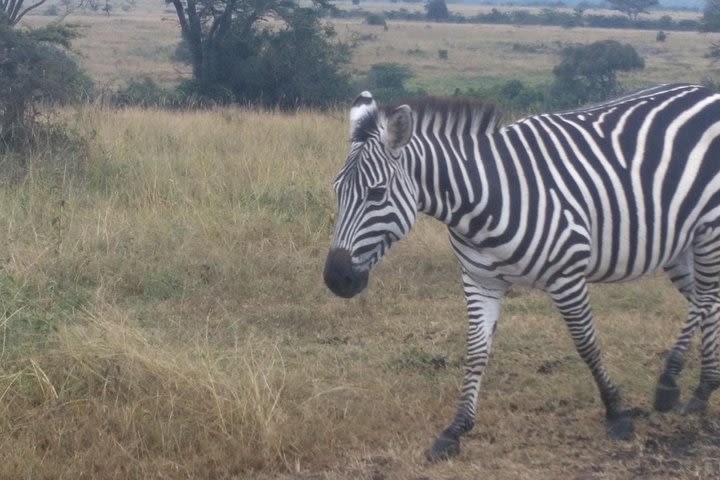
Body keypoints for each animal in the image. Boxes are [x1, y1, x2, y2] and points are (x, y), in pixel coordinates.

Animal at [324, 84, 720, 464]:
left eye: (376, 194)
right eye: (337, 191)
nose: (335, 278)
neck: (482, 200)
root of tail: (705, 91)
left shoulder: (567, 276)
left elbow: (587, 344)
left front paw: (617, 413)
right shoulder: (479, 281)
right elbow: (476, 352)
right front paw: (455, 430)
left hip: (708, 227)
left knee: (705, 297)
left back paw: (670, 383)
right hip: (679, 242)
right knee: (710, 300)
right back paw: (703, 390)